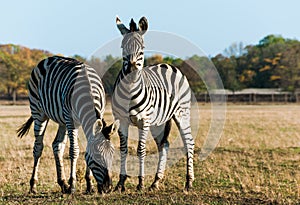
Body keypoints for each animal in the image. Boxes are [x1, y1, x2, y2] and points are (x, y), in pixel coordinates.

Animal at [17, 55, 119, 194]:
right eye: (98, 155)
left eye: (112, 154)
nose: (108, 188)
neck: (89, 93)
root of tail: (47, 59)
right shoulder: (71, 120)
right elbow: (74, 150)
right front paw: (73, 185)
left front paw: (89, 185)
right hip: (39, 112)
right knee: (38, 147)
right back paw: (33, 185)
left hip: (62, 120)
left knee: (57, 145)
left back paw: (63, 183)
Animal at [112, 16, 195, 191]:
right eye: (122, 46)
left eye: (143, 48)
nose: (131, 72)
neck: (129, 91)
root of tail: (169, 65)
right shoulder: (121, 120)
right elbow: (123, 149)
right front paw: (120, 183)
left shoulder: (144, 120)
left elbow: (140, 150)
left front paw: (140, 183)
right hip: (159, 122)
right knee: (164, 145)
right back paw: (156, 181)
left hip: (182, 113)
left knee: (189, 143)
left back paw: (189, 182)